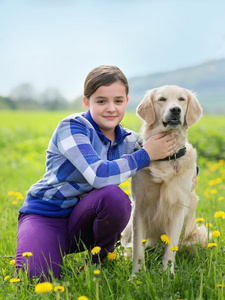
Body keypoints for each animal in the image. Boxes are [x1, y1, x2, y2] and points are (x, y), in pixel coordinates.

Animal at [122, 84, 208, 274]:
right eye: (162, 99)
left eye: (181, 99)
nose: (175, 109)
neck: (165, 159)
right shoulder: (139, 207)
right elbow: (137, 249)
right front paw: (136, 275)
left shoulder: (178, 208)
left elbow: (170, 249)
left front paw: (167, 274)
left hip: (201, 234)